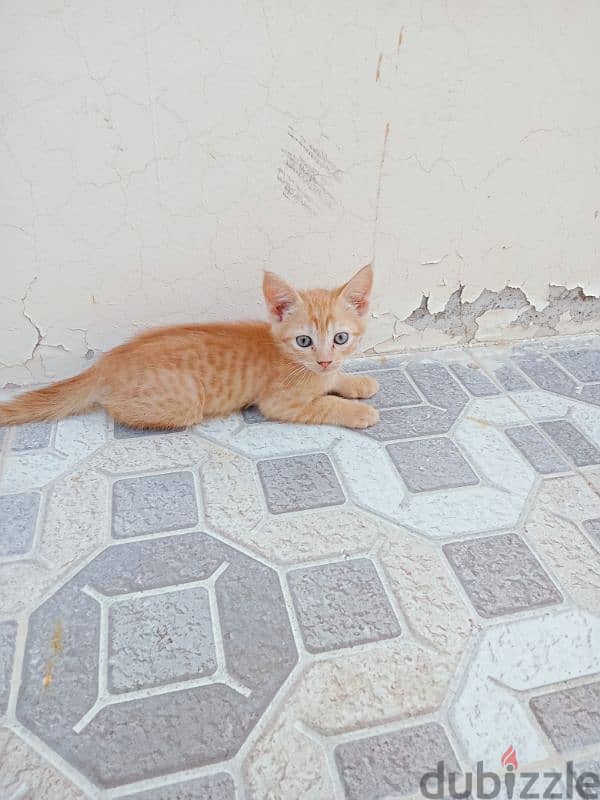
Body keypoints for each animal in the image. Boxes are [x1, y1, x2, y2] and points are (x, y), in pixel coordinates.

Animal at [0, 264, 380, 428]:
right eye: (304, 341)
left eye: (341, 338)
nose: (324, 361)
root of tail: (106, 363)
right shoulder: (280, 403)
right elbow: (325, 404)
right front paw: (358, 411)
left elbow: (338, 380)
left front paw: (357, 381)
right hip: (184, 404)